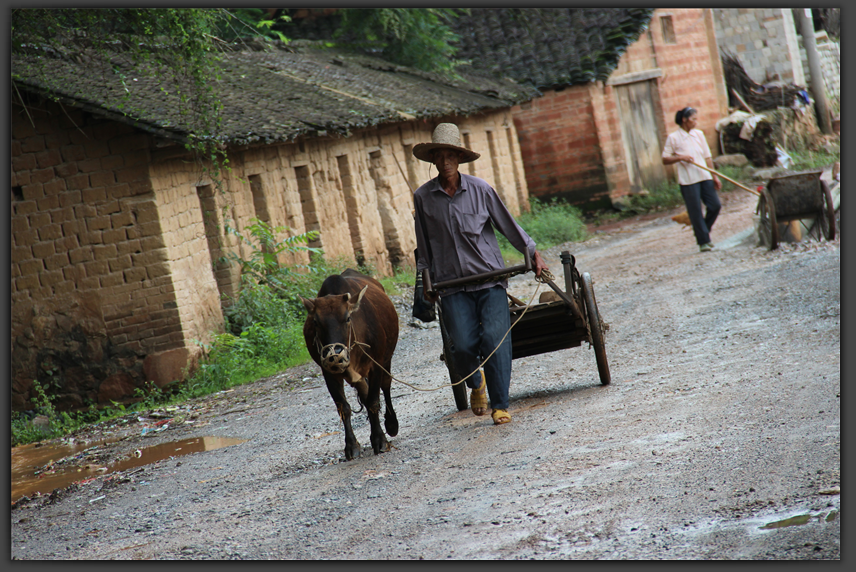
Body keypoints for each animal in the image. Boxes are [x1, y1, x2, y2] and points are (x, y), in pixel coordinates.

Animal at [300, 268, 402, 460]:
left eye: (347, 318)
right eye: (316, 322)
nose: (334, 355)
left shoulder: (376, 365)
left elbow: (373, 401)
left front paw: (380, 440)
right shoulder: (329, 373)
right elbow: (344, 408)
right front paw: (351, 445)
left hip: (386, 360)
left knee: (386, 385)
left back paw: (391, 424)